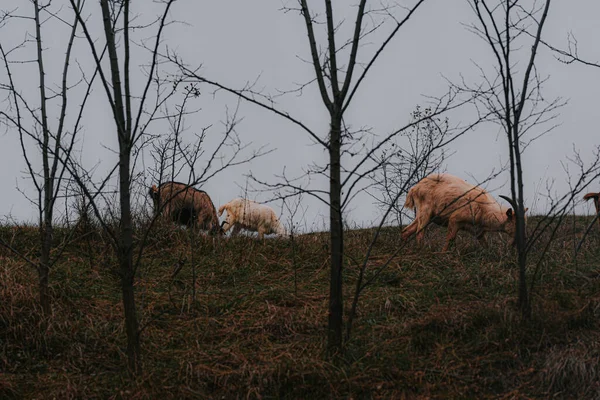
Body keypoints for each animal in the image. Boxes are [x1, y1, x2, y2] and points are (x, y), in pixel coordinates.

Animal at [400, 174, 528, 252]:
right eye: (515, 223)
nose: (523, 238)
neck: (484, 208)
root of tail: (415, 188)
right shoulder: (454, 219)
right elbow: (449, 240)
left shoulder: (478, 232)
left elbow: (486, 246)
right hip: (425, 211)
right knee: (419, 232)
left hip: (426, 215)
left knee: (406, 231)